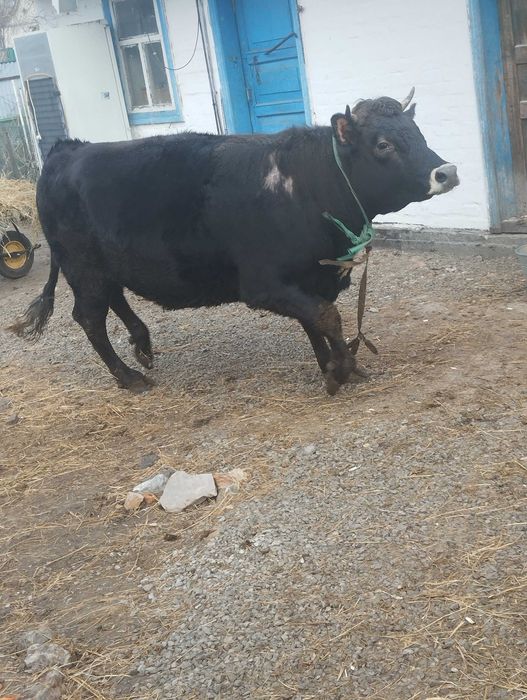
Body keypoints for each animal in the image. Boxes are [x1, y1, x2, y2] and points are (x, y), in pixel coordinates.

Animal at [11, 89, 459, 395]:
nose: (448, 171)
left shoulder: (309, 278)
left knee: (115, 300)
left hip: (105, 266)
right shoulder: (263, 284)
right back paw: (128, 375)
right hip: (83, 267)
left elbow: (315, 319)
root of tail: (67, 151)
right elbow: (326, 316)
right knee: (90, 318)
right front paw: (342, 368)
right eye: (383, 144)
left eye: (417, 133)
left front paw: (330, 365)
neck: (304, 184)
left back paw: (142, 345)